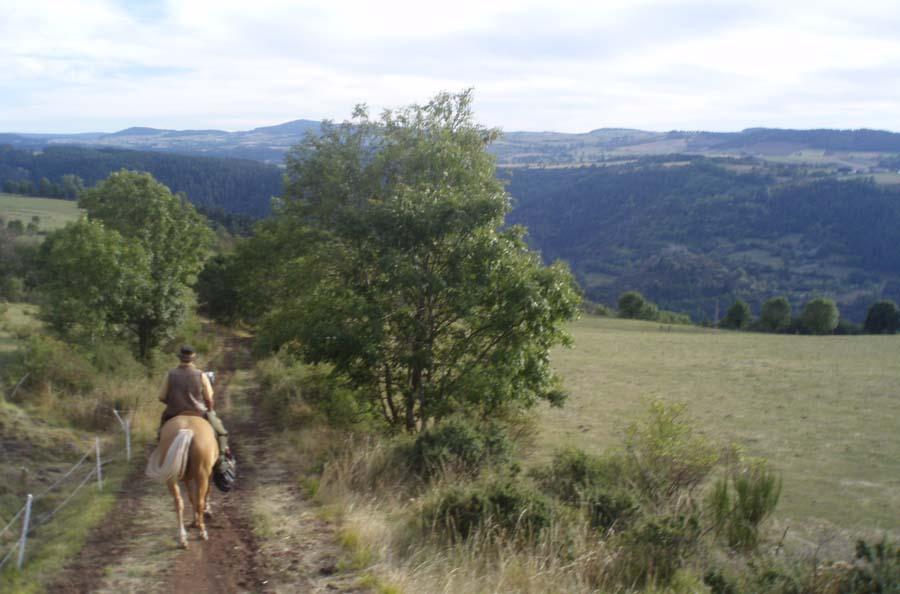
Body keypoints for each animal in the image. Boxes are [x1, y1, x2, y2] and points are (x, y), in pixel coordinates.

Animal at [147, 412, 221, 544]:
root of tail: (187, 431)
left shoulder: (186, 479)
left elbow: (191, 498)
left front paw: (194, 520)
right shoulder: (209, 474)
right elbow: (205, 494)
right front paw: (206, 512)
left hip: (171, 478)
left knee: (178, 502)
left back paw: (183, 538)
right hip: (202, 475)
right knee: (200, 501)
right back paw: (202, 532)